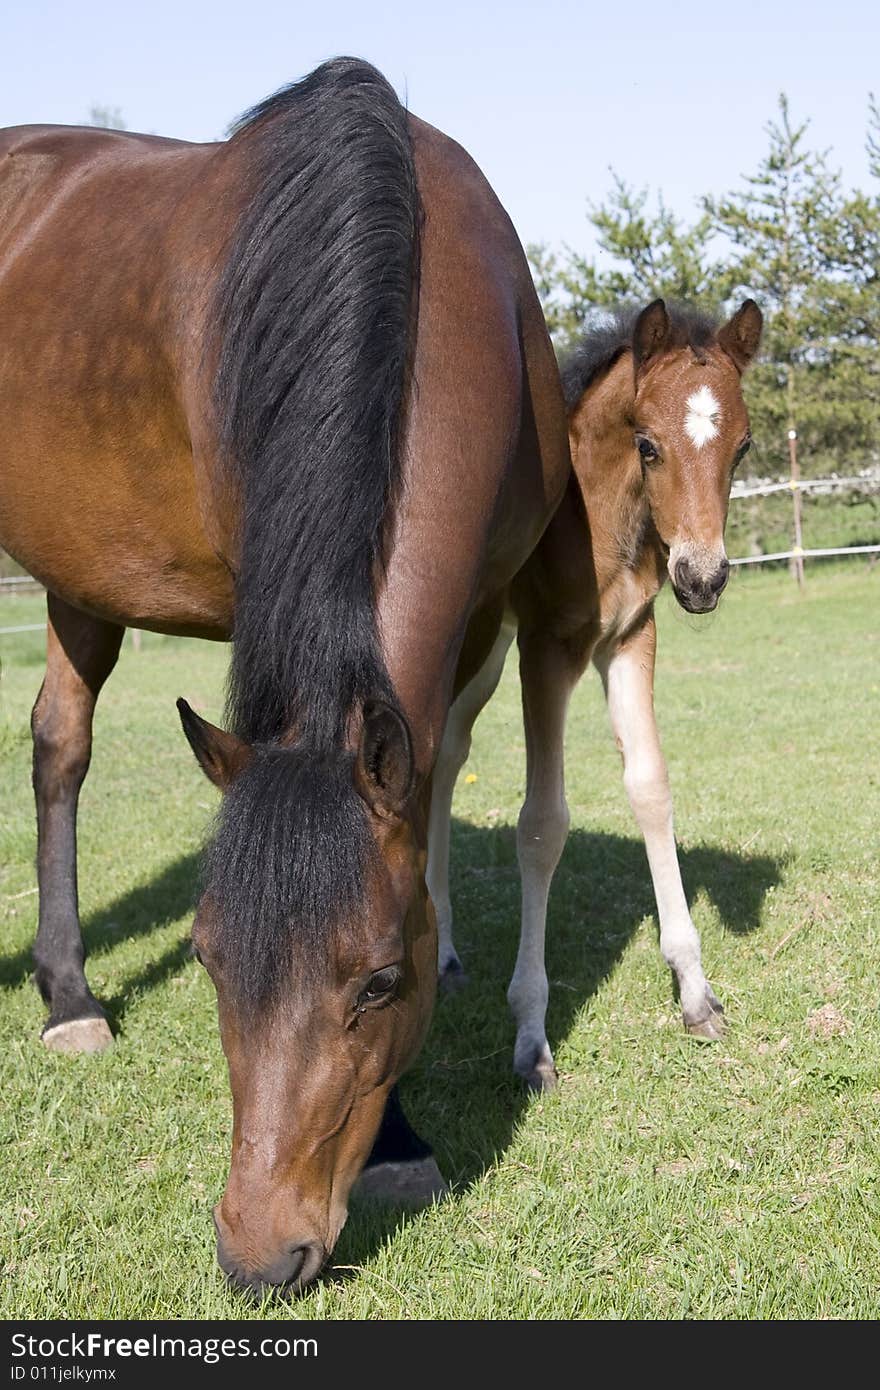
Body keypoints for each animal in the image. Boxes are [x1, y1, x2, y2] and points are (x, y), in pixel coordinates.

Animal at [0, 56, 567, 1289]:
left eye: (379, 981)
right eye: (209, 962)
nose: (260, 1254)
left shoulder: (479, 622)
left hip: (79, 579)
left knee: (60, 741)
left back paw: (66, 988)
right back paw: (68, 994)